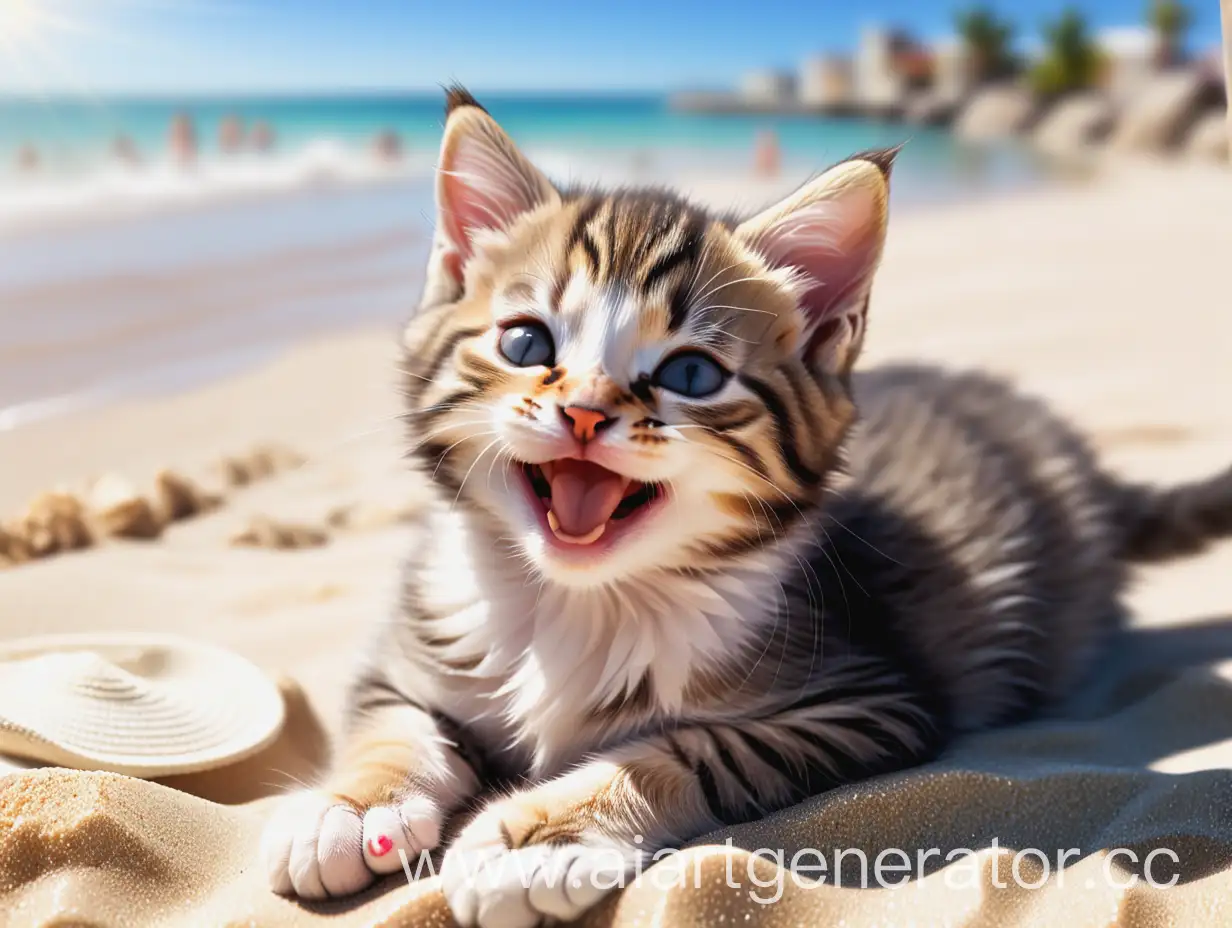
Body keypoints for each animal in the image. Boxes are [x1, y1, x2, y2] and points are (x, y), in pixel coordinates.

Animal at [262, 88, 1232, 926]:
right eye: (527, 343)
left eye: (691, 374)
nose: (585, 411)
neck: (576, 602)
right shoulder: (411, 650)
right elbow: (392, 725)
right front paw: (351, 805)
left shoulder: (867, 697)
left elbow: (692, 746)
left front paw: (544, 833)